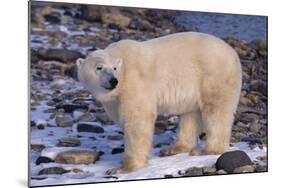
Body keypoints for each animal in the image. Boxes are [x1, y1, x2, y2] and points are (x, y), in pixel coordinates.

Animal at [76, 32, 241, 175]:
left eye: (114, 68)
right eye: (99, 67)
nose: (113, 80)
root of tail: (233, 52)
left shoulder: (135, 82)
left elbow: (137, 119)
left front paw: (123, 168)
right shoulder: (115, 99)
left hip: (214, 75)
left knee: (216, 110)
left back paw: (207, 150)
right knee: (190, 115)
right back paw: (174, 149)